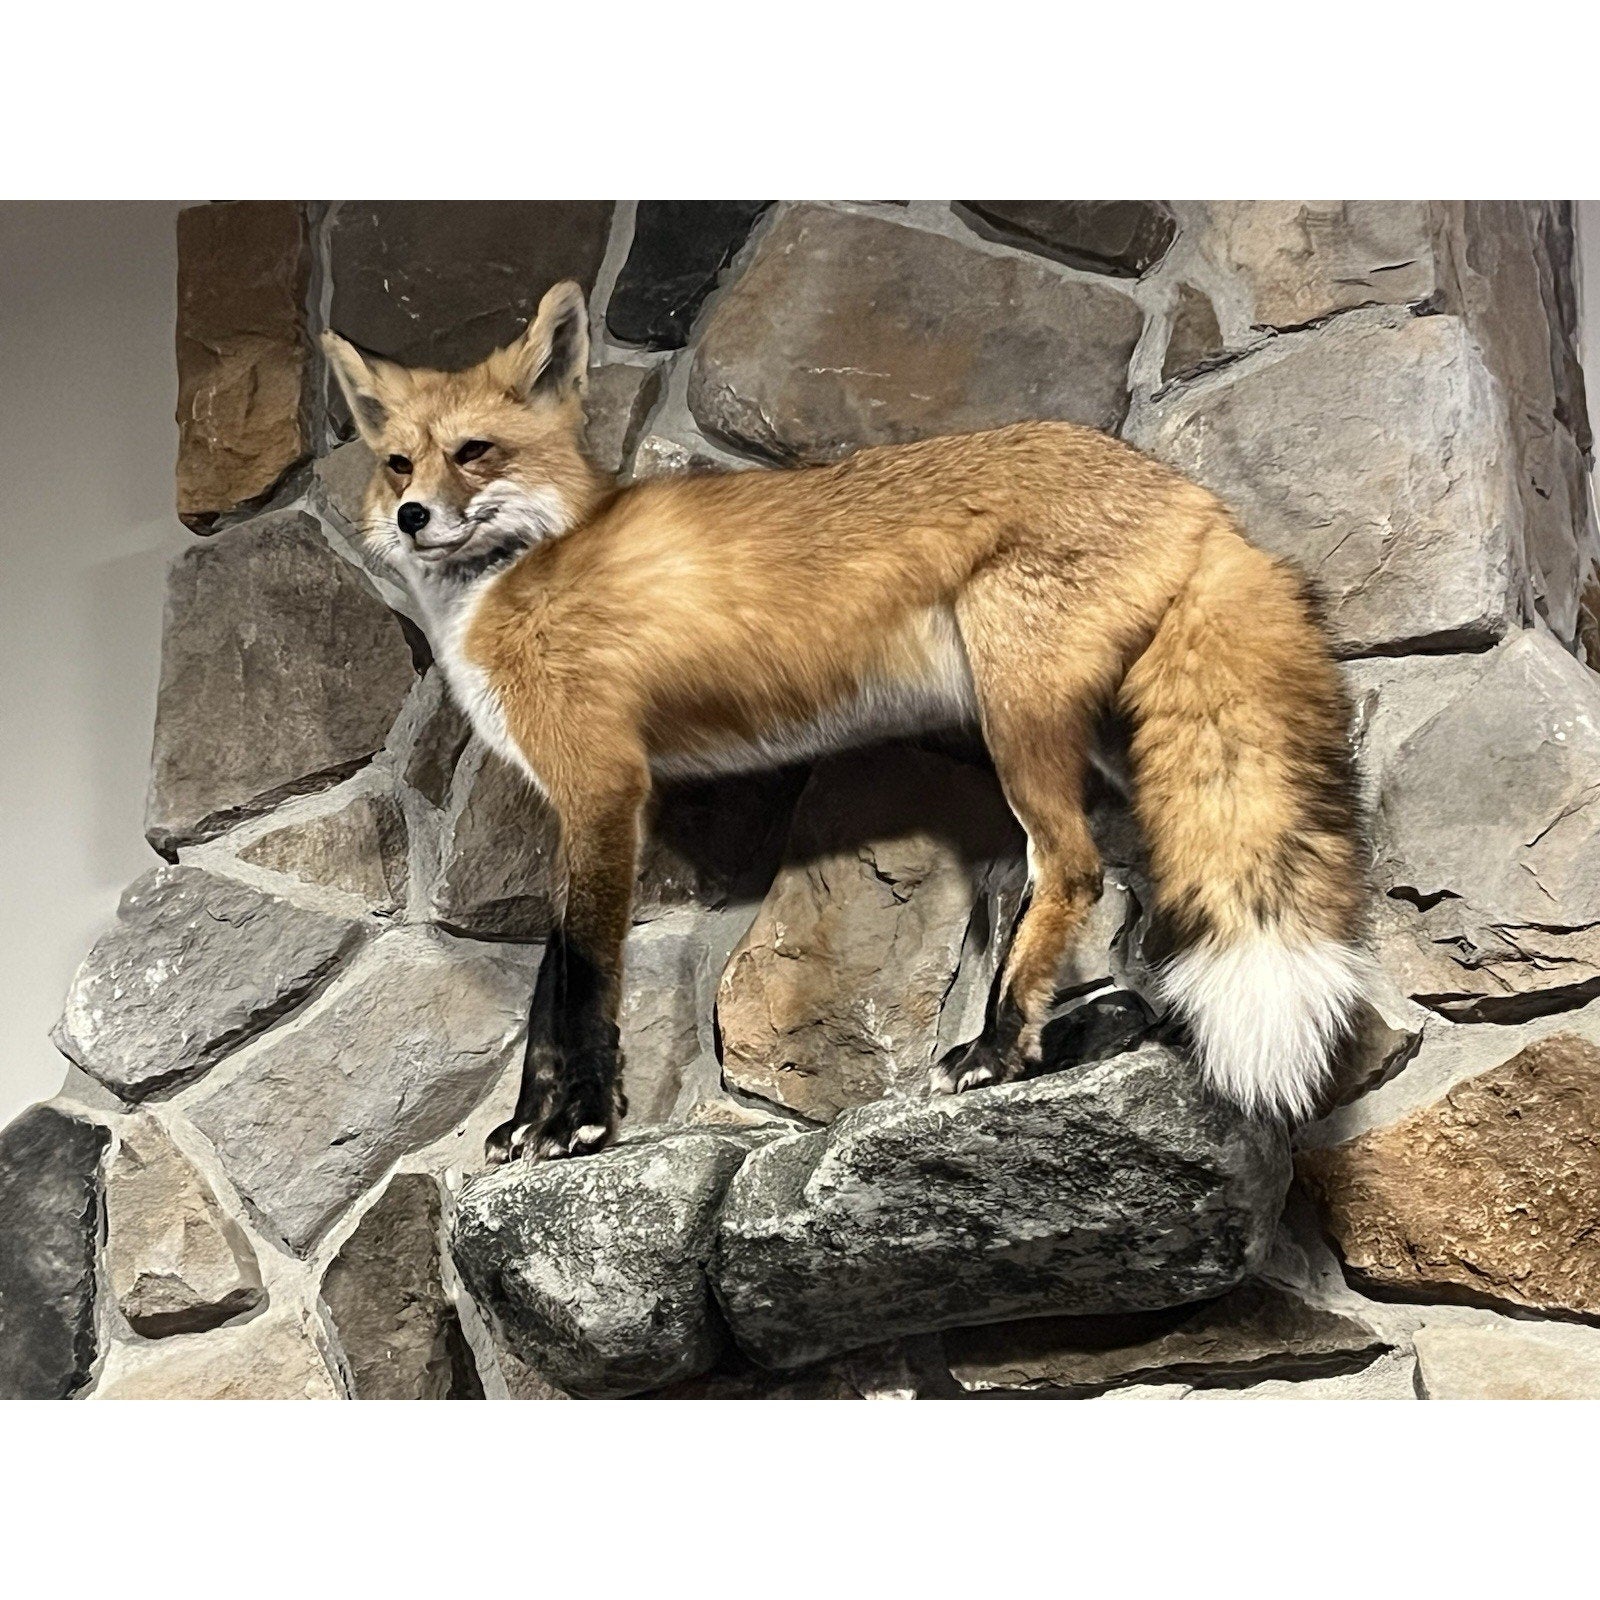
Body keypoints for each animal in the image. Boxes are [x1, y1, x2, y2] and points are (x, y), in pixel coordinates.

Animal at [321, 278, 1369, 1165]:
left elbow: (583, 974)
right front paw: (528, 1123)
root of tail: (1196, 496)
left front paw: (575, 1123)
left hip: (1018, 717)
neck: (520, 572)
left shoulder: (603, 787)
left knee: (1073, 870)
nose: (411, 516)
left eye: (474, 452)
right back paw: (1070, 1034)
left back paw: (996, 1049)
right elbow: (548, 983)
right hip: (1116, 742)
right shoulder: (578, 807)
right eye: (398, 463)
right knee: (1138, 912)